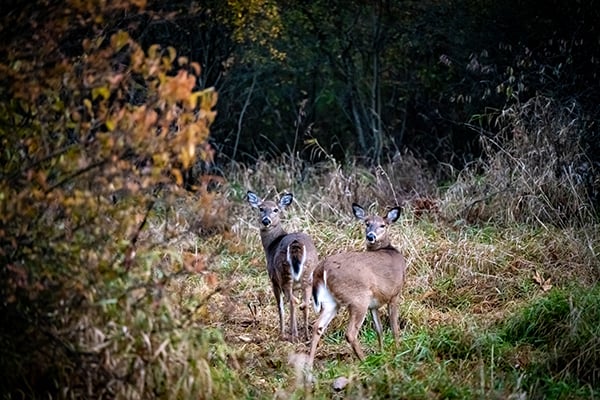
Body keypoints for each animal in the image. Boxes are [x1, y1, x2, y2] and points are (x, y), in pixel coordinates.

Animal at [245, 192, 318, 342]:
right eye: (261, 208)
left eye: (276, 210)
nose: (266, 221)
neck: (271, 245)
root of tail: (296, 244)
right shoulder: (296, 286)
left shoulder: (273, 280)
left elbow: (280, 307)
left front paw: (282, 332)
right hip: (308, 275)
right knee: (305, 303)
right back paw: (306, 336)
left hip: (284, 273)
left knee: (293, 301)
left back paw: (292, 335)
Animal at [310, 203, 408, 366]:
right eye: (367, 223)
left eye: (382, 225)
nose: (371, 236)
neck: (389, 251)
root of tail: (321, 267)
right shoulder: (395, 293)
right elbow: (394, 328)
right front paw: (398, 353)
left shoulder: (374, 304)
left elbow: (379, 329)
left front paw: (382, 353)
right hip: (358, 298)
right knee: (350, 333)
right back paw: (365, 361)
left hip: (331, 301)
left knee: (318, 326)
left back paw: (309, 365)